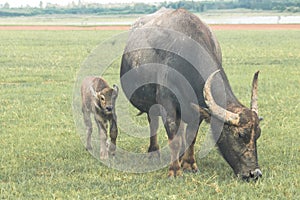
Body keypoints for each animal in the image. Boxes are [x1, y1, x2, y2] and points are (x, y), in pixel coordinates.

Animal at [119, 7, 262, 180]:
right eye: (240, 135)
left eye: (258, 134)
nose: (254, 173)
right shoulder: (168, 105)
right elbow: (174, 138)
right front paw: (175, 170)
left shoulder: (197, 109)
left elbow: (191, 136)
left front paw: (189, 164)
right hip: (152, 105)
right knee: (153, 122)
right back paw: (153, 153)